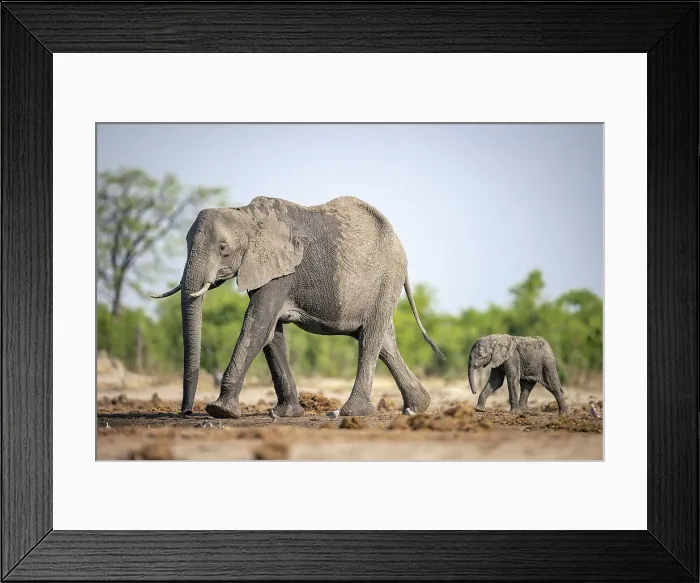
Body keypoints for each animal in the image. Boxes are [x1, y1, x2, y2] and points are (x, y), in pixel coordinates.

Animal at [152, 195, 444, 419]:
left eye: (223, 248)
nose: (186, 412)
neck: (247, 216)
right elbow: (270, 333)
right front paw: (284, 414)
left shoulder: (282, 271)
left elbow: (257, 325)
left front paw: (220, 411)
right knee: (383, 341)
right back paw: (417, 407)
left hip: (386, 279)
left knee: (370, 339)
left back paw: (350, 412)